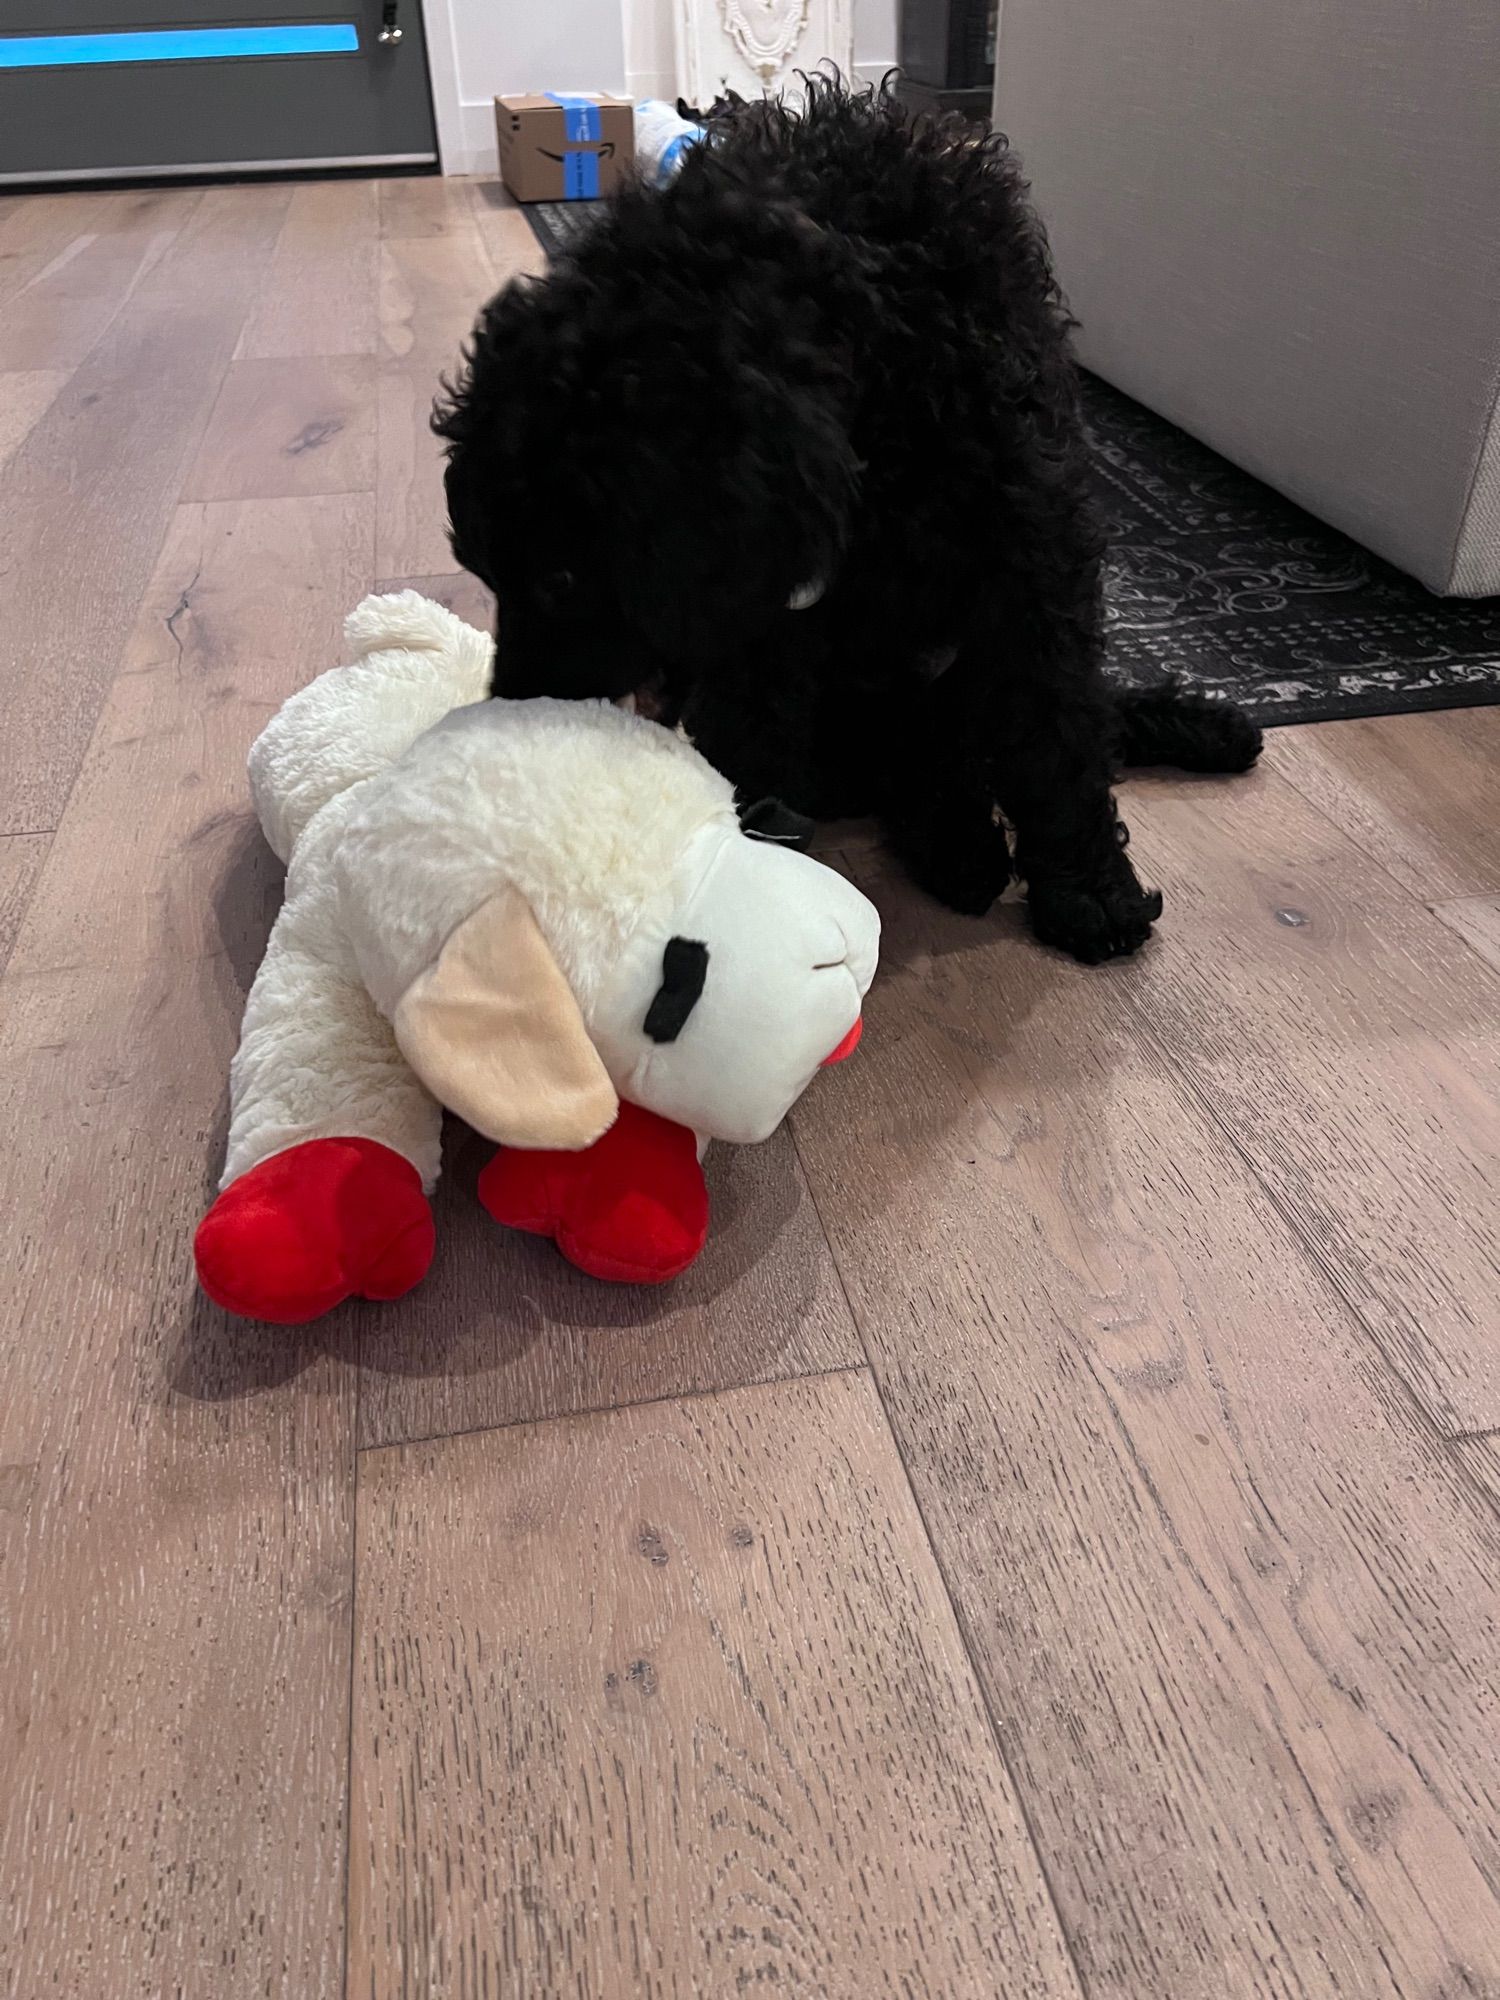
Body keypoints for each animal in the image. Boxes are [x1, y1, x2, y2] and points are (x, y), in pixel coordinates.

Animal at [438, 82, 1272, 972]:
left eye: (559, 577)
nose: (508, 723)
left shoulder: (1033, 551)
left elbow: (1062, 730)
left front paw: (1092, 893)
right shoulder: (764, 627)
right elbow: (759, 747)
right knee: (906, 766)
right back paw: (961, 846)